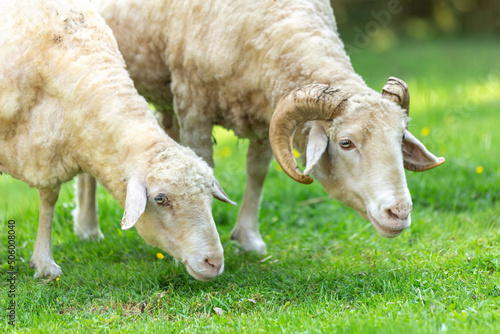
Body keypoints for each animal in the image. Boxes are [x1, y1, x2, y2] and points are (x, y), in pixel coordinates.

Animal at [0, 0, 235, 280]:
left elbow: (49, 199)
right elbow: (49, 202)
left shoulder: (49, 147)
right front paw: (46, 264)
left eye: (209, 195)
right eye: (160, 199)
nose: (214, 262)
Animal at [92, 0, 444, 256]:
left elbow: (257, 172)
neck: (279, 20)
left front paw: (248, 237)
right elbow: (205, 164)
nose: (399, 213)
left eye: (400, 139)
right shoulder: (194, 105)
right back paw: (89, 231)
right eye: (346, 143)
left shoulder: (266, 115)